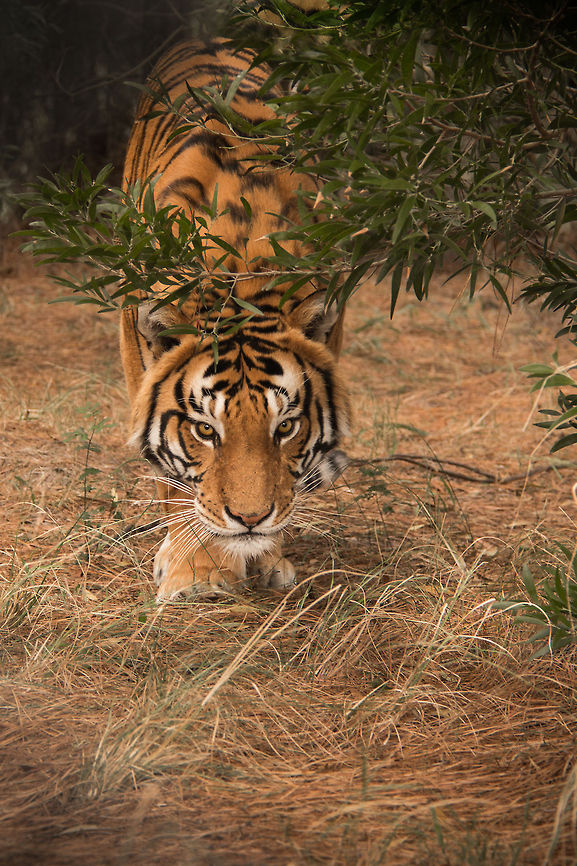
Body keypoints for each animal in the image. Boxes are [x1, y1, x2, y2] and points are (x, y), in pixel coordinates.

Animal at [120, 38, 351, 601]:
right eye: (205, 430)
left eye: (285, 425)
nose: (249, 520)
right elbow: (179, 475)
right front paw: (200, 570)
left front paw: (265, 554)